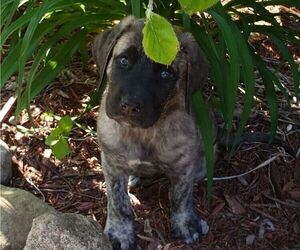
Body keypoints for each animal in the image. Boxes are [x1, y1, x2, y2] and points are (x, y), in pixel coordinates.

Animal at [92, 16, 210, 250]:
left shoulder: (184, 165)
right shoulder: (111, 164)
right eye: (123, 60)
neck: (143, 133)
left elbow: (181, 196)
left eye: (166, 73)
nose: (130, 106)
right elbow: (118, 203)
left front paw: (186, 223)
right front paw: (120, 232)